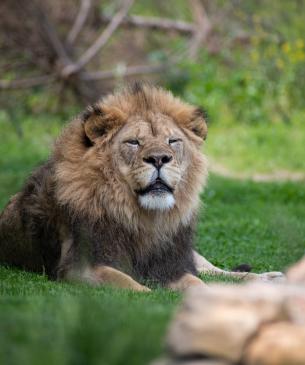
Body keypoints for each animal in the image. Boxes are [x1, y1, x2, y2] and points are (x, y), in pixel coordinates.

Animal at [0, 83, 282, 290]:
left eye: (173, 141)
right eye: (134, 142)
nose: (159, 158)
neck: (144, 219)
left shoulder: (174, 265)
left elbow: (199, 283)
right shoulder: (80, 267)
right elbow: (134, 288)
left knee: (215, 270)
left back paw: (270, 278)